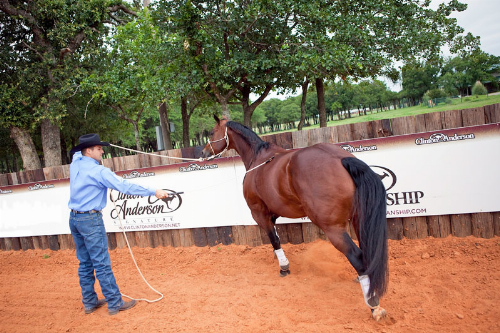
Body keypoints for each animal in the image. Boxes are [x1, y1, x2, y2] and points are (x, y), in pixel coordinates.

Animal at [201, 115, 388, 320]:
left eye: (212, 132)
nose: (203, 152)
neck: (259, 159)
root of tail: (341, 159)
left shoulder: (259, 212)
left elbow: (274, 238)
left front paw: (284, 266)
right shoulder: (273, 211)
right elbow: (276, 236)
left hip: (333, 229)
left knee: (356, 256)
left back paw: (373, 304)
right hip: (358, 220)